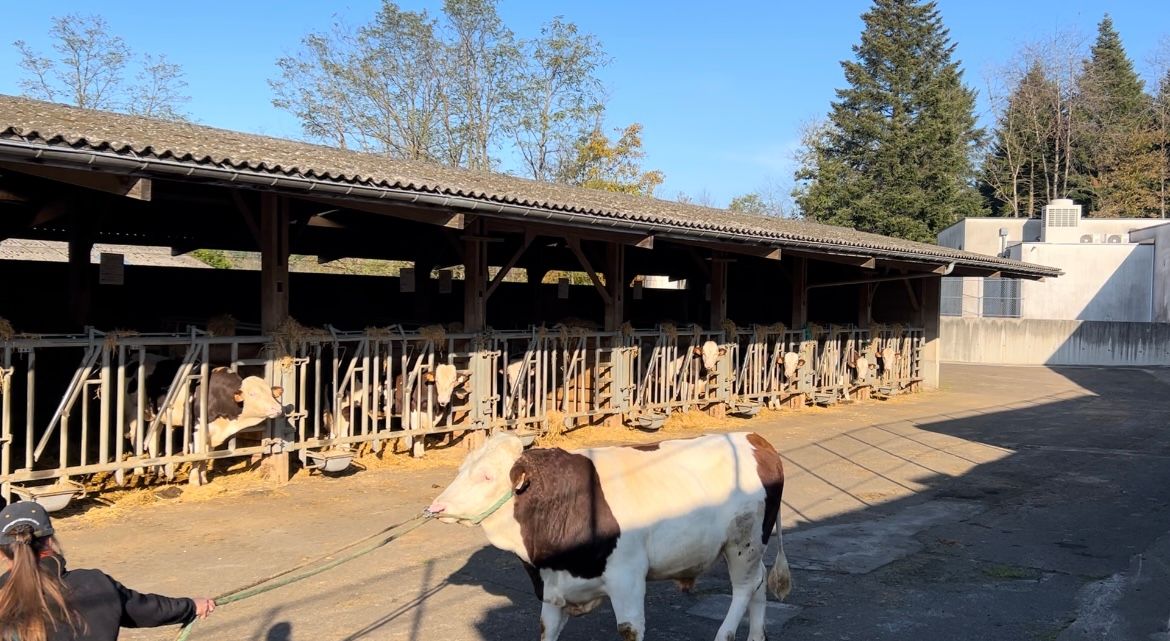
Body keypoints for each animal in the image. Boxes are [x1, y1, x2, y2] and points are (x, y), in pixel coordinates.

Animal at [427, 432, 792, 641]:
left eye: (487, 476)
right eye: (461, 469)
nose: (435, 507)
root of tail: (756, 438)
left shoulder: (627, 578)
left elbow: (629, 629)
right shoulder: (553, 586)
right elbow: (546, 630)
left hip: (743, 542)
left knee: (744, 588)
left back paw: (725, 634)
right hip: (751, 548)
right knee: (759, 582)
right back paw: (756, 637)